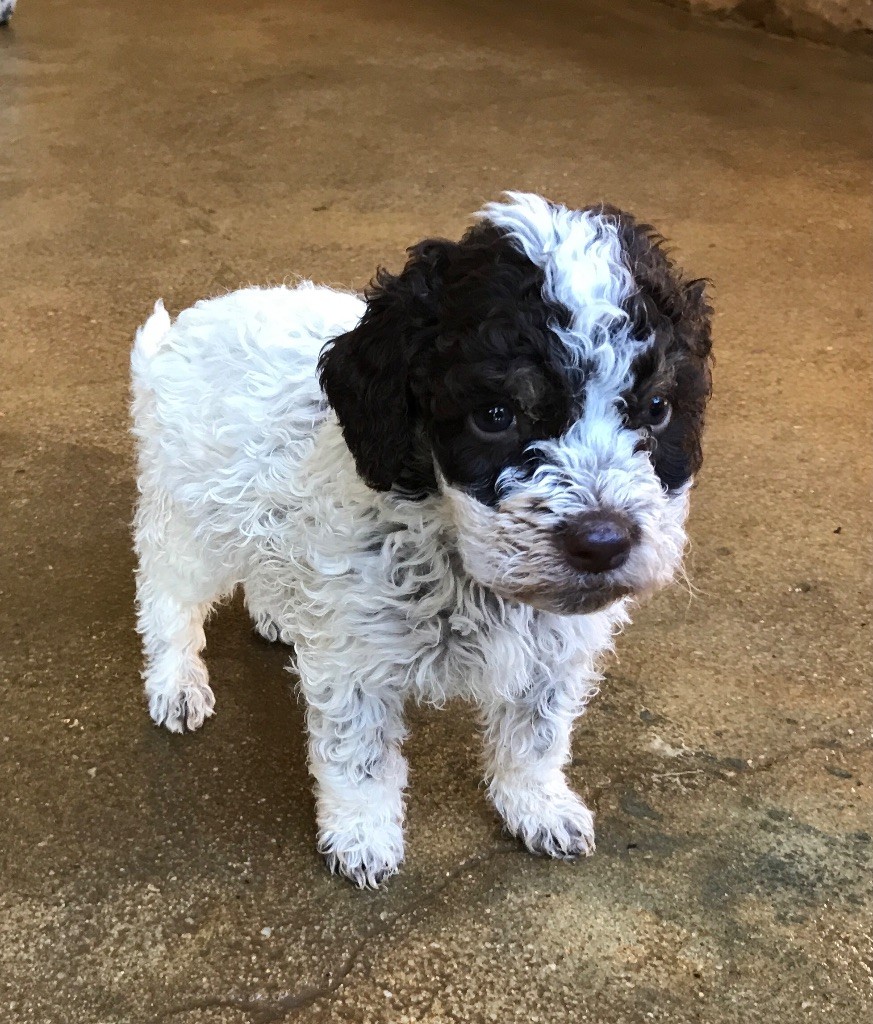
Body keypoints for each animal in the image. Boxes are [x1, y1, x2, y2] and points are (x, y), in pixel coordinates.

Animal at [131, 192, 716, 888]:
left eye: (656, 408)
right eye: (495, 415)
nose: (603, 543)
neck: (460, 561)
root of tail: (190, 327)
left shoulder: (553, 655)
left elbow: (537, 736)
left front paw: (536, 803)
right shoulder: (354, 659)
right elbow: (359, 758)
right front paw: (361, 833)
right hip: (191, 521)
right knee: (166, 597)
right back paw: (176, 682)